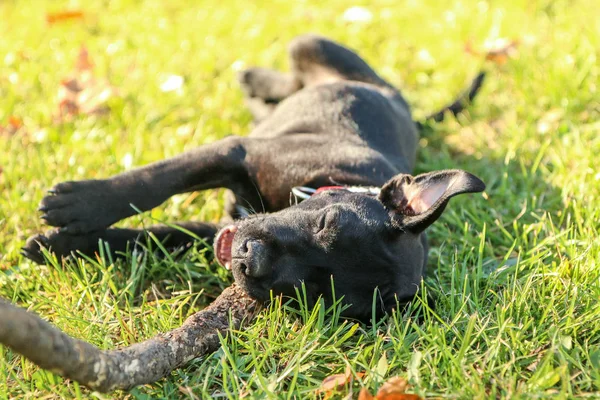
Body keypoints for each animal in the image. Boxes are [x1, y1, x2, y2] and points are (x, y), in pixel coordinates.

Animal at [21, 35, 486, 322]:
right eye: (326, 222)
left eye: (313, 293)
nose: (249, 259)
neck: (331, 181)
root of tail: (400, 100)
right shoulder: (235, 151)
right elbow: (151, 183)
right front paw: (77, 206)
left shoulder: (213, 227)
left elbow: (152, 236)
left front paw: (60, 246)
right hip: (315, 45)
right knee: (292, 77)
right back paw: (255, 82)